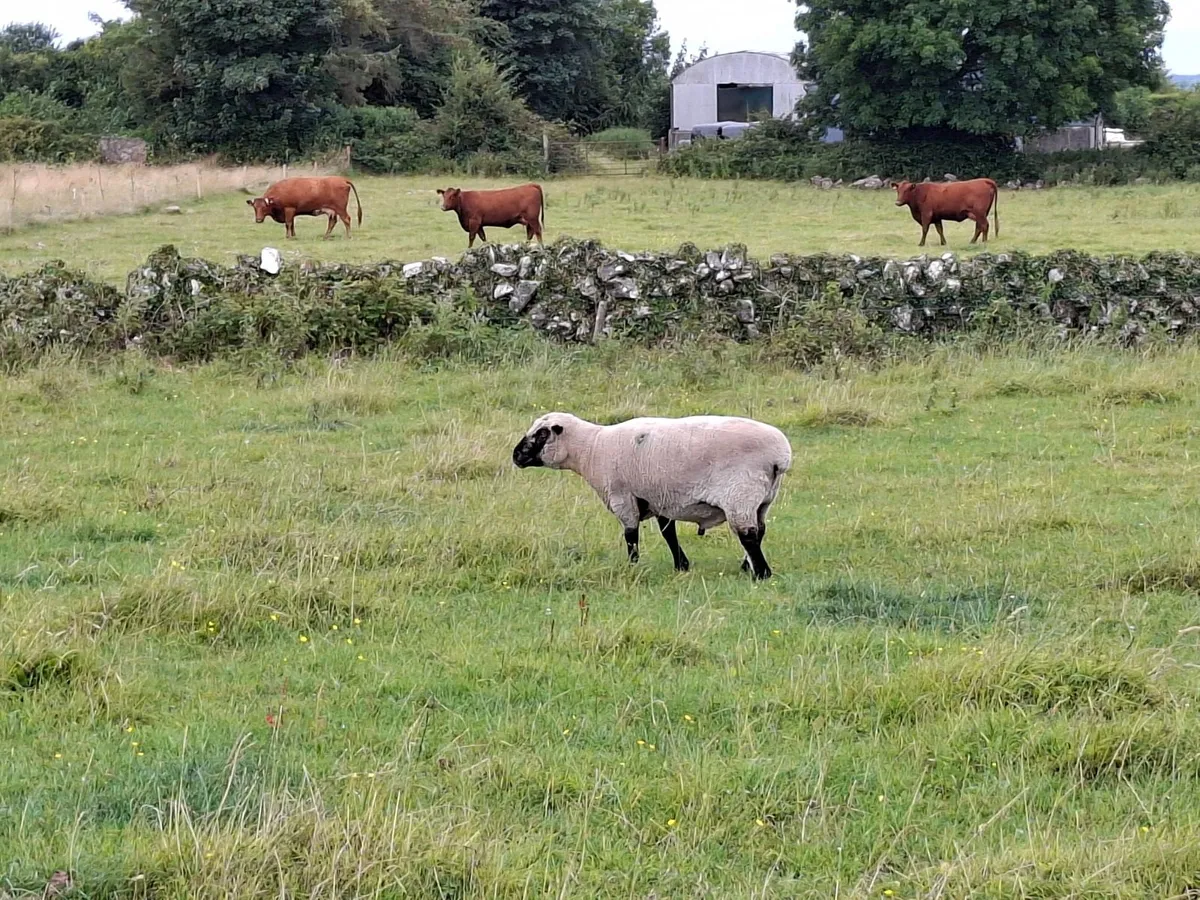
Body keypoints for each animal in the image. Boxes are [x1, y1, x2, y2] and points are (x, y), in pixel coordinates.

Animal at [512, 412, 792, 579]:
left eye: (542, 434)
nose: (516, 456)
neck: (591, 448)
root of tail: (781, 457)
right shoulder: (660, 497)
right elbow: (668, 533)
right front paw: (681, 565)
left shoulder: (623, 497)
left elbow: (630, 535)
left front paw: (632, 565)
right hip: (764, 499)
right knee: (759, 530)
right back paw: (747, 567)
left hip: (740, 493)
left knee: (749, 535)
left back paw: (761, 573)